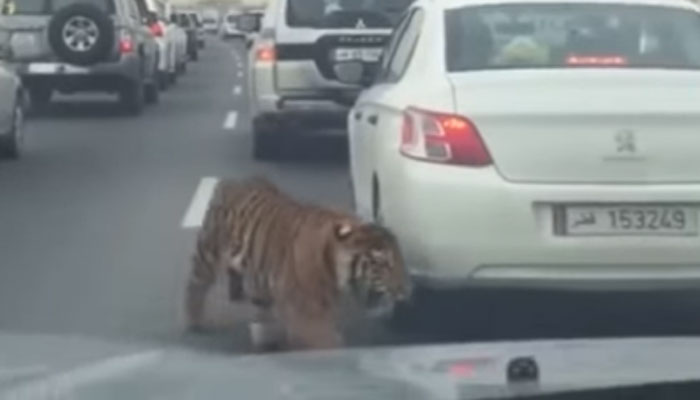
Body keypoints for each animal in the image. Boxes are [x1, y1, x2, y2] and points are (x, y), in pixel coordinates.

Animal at [183, 177, 410, 350]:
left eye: (401, 258)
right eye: (382, 262)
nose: (405, 290)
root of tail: (232, 181)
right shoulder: (308, 309)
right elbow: (324, 340)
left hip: (259, 277)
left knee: (261, 307)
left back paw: (265, 339)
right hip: (207, 252)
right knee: (195, 286)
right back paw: (194, 322)